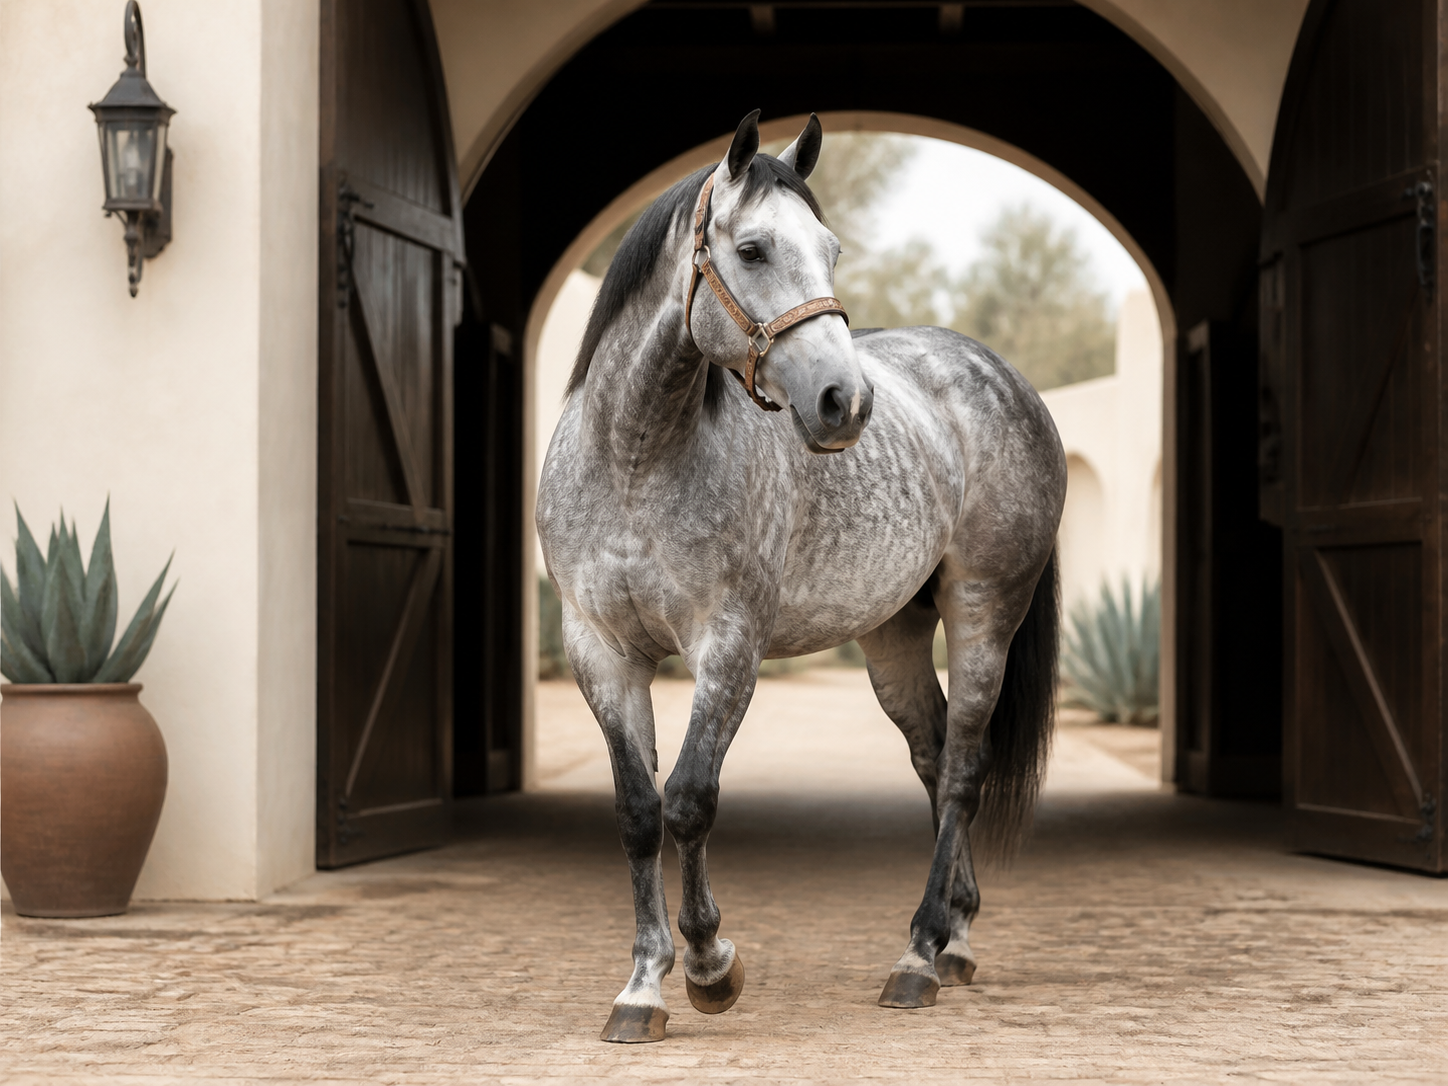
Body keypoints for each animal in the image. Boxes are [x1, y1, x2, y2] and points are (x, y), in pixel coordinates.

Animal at [536, 110, 1066, 1043]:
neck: (635, 458)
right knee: (932, 758)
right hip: (893, 635)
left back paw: (917, 957)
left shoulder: (728, 646)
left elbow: (690, 799)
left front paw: (710, 967)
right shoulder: (599, 648)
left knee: (963, 770)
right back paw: (954, 937)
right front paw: (640, 988)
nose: (843, 404)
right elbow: (639, 813)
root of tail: (1004, 379)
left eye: (831, 249)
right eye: (750, 250)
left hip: (983, 614)